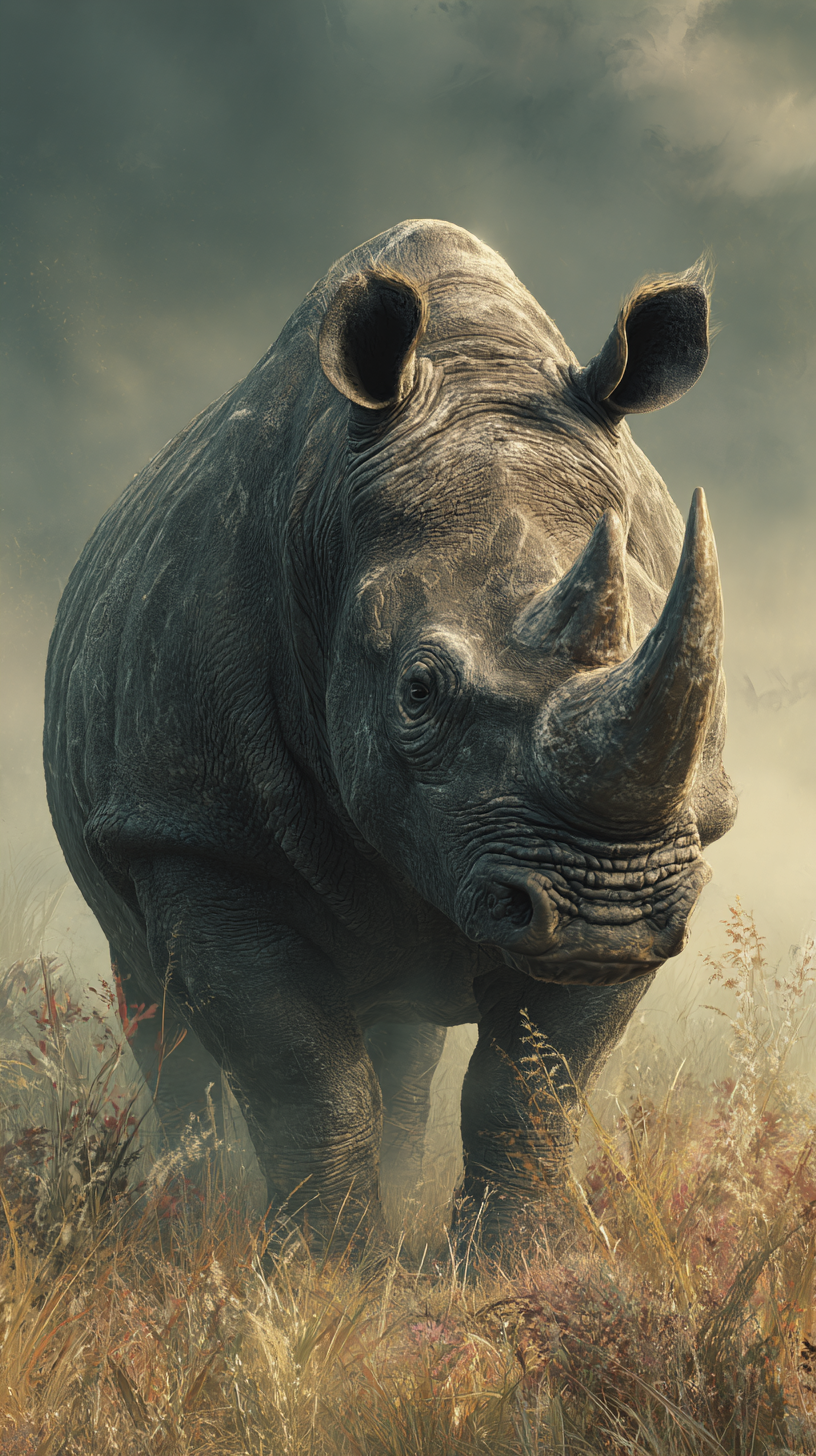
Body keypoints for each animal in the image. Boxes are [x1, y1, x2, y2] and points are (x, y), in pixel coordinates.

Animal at [44, 219, 737, 1255]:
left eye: (703, 667)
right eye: (417, 691)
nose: (602, 911)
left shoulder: (668, 846)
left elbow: (534, 1087)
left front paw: (509, 1265)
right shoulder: (195, 826)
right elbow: (304, 1076)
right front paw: (327, 1268)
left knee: (404, 1028)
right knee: (156, 1007)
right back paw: (183, 1219)